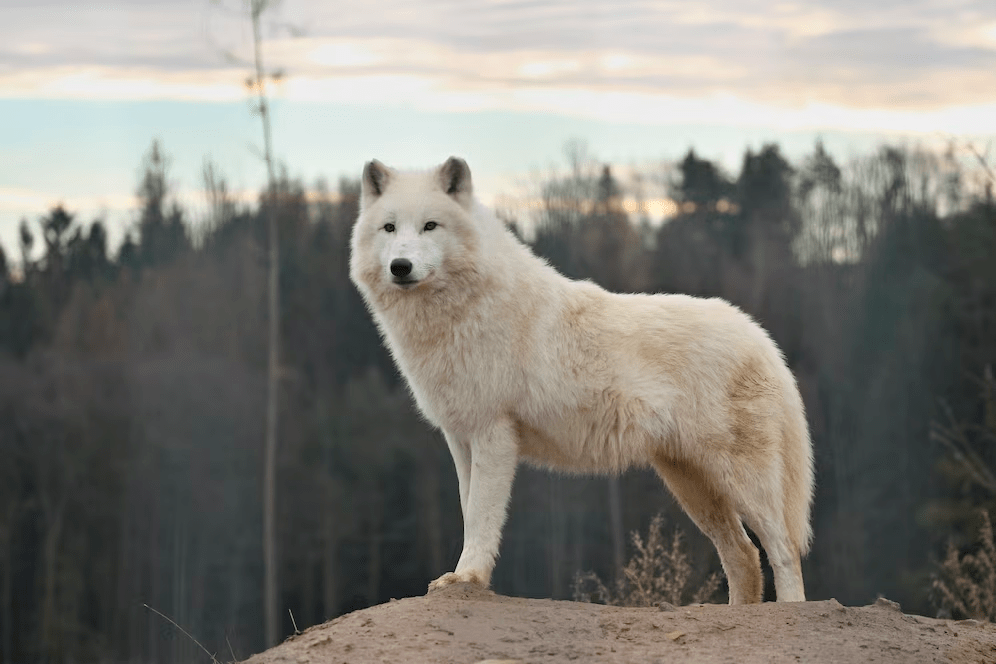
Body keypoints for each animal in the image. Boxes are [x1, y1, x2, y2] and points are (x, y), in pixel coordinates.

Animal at [349, 157, 814, 603]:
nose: (401, 266)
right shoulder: (460, 438)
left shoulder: (493, 434)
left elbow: (481, 517)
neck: (462, 312)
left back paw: (790, 609)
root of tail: (760, 336)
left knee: (783, 549)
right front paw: (461, 578)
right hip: (691, 484)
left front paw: (469, 578)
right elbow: (469, 512)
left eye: (430, 225)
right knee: (743, 554)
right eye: (389, 228)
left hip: (740, 480)